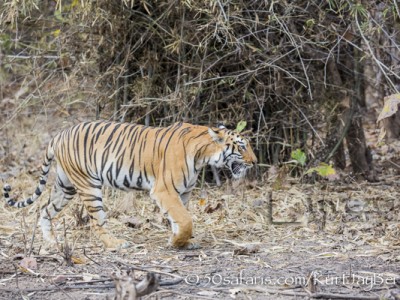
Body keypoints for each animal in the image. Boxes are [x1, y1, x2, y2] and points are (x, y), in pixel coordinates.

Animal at [3, 120, 258, 250]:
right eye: (242, 146)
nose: (255, 162)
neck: (202, 156)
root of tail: (59, 134)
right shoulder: (164, 190)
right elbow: (185, 220)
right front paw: (176, 242)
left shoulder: (183, 193)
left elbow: (180, 219)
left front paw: (181, 241)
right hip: (88, 186)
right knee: (96, 222)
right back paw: (116, 244)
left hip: (66, 186)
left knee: (44, 209)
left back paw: (51, 242)